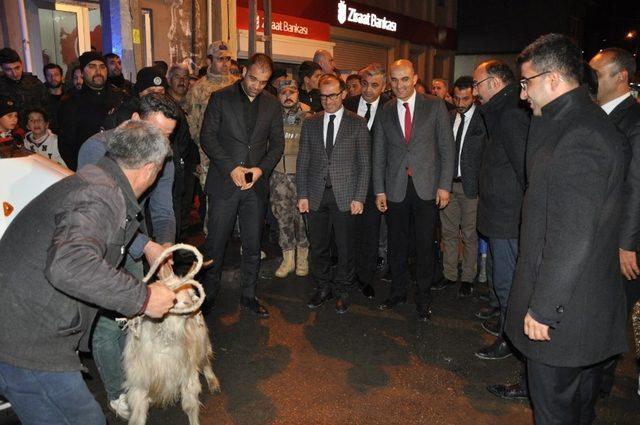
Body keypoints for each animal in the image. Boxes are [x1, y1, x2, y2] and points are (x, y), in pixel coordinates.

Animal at [122, 242, 220, 424]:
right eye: (172, 296)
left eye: (192, 294)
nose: (193, 305)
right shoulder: (139, 383)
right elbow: (137, 416)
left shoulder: (187, 373)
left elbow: (190, 405)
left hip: (202, 340)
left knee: (205, 359)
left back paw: (213, 382)